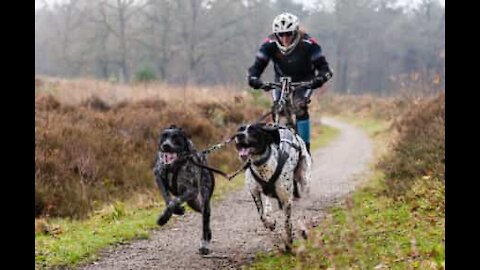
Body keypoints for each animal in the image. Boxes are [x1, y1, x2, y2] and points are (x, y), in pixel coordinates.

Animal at [153, 125, 215, 255]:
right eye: (163, 136)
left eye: (176, 137)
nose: (166, 145)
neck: (174, 166)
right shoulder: (158, 176)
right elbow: (168, 198)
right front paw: (175, 211)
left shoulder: (191, 190)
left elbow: (174, 201)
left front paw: (163, 219)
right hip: (194, 203)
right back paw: (209, 234)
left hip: (203, 200)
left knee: (205, 220)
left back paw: (204, 244)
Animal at [234, 123, 314, 252]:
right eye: (240, 129)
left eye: (253, 130)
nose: (239, 135)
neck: (262, 166)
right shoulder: (254, 192)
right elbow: (261, 215)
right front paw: (270, 223)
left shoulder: (286, 199)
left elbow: (287, 223)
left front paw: (289, 242)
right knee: (267, 203)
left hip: (305, 179)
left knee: (304, 207)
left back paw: (303, 226)